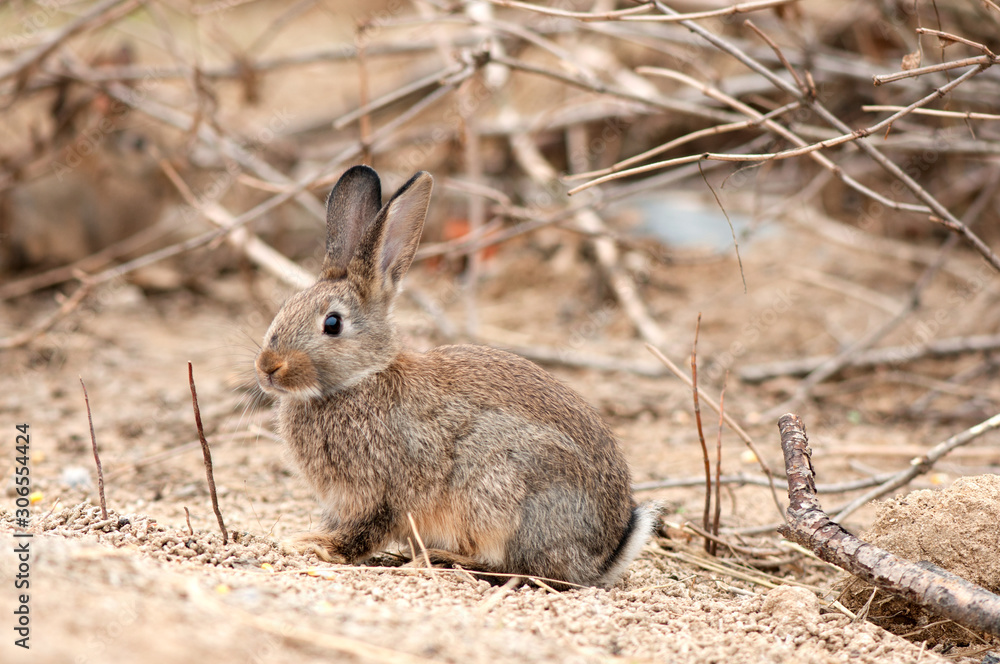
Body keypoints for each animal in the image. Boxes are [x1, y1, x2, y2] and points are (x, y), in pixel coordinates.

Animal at [255, 165, 659, 587]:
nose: (268, 367)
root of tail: (602, 558)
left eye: (332, 324)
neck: (362, 377)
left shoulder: (382, 494)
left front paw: (314, 546)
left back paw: (440, 559)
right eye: (285, 308)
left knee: (516, 567)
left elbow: (363, 532)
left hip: (502, 492)